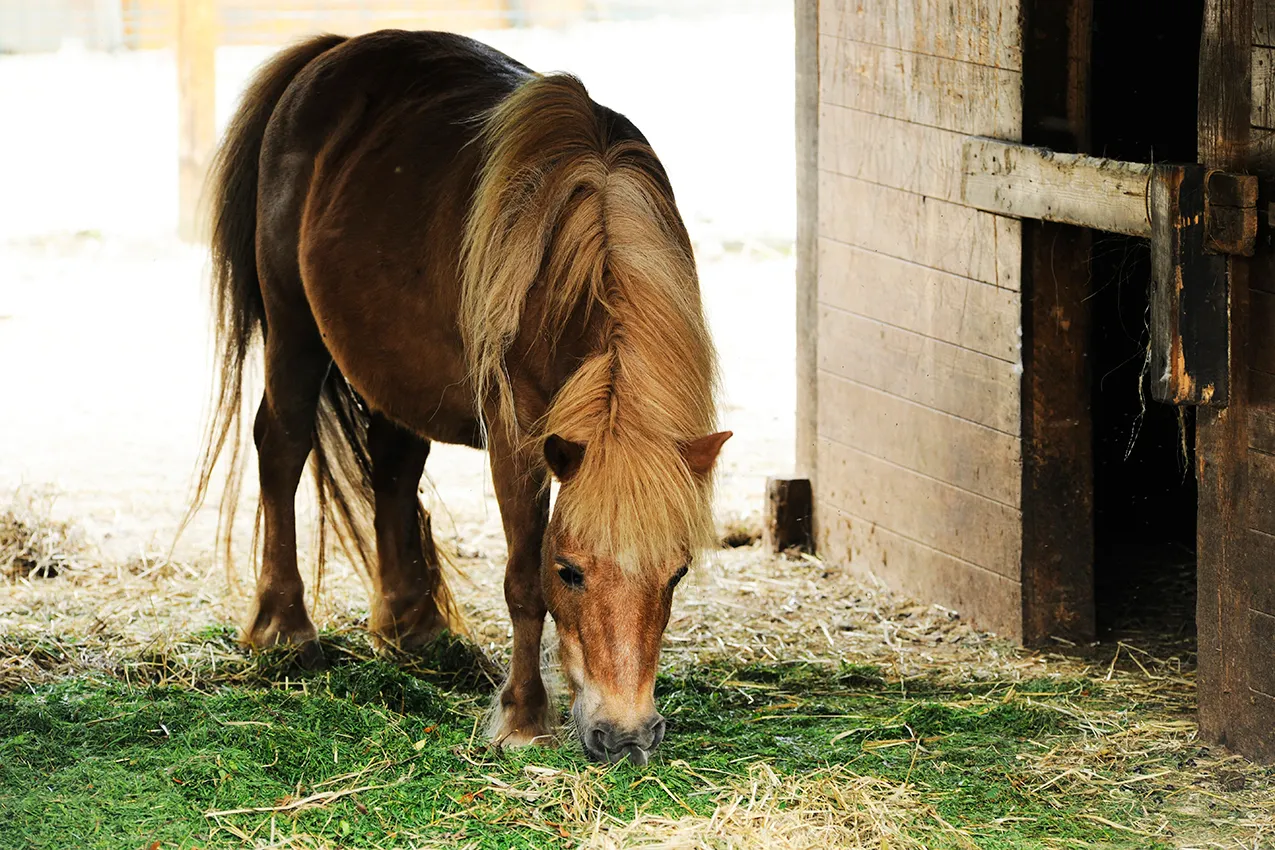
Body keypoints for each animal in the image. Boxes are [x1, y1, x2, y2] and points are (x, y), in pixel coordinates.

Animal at [190, 30, 730, 766]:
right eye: (569, 571)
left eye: (676, 573)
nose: (625, 737)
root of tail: (331, 52)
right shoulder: (517, 437)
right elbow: (521, 580)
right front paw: (523, 718)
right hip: (294, 331)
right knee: (282, 448)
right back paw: (284, 629)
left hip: (391, 365)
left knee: (392, 469)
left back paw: (413, 628)